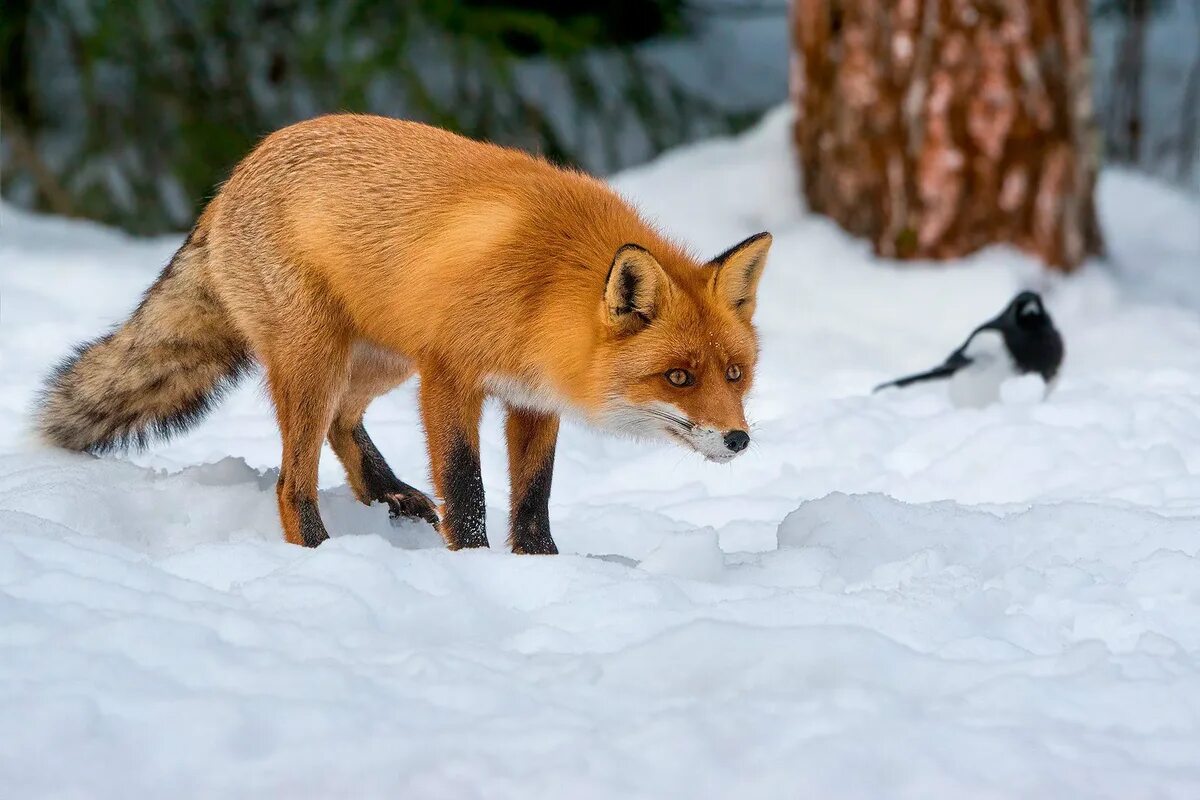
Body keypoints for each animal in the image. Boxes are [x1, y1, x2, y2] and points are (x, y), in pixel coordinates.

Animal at [37, 115, 772, 554]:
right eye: (678, 377)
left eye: (735, 374)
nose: (738, 439)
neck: (545, 285)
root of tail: (233, 176)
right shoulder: (449, 374)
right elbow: (468, 485)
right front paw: (473, 561)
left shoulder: (531, 400)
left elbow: (533, 499)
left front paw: (542, 567)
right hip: (318, 360)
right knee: (291, 480)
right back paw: (320, 550)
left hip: (381, 358)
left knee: (343, 424)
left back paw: (387, 493)